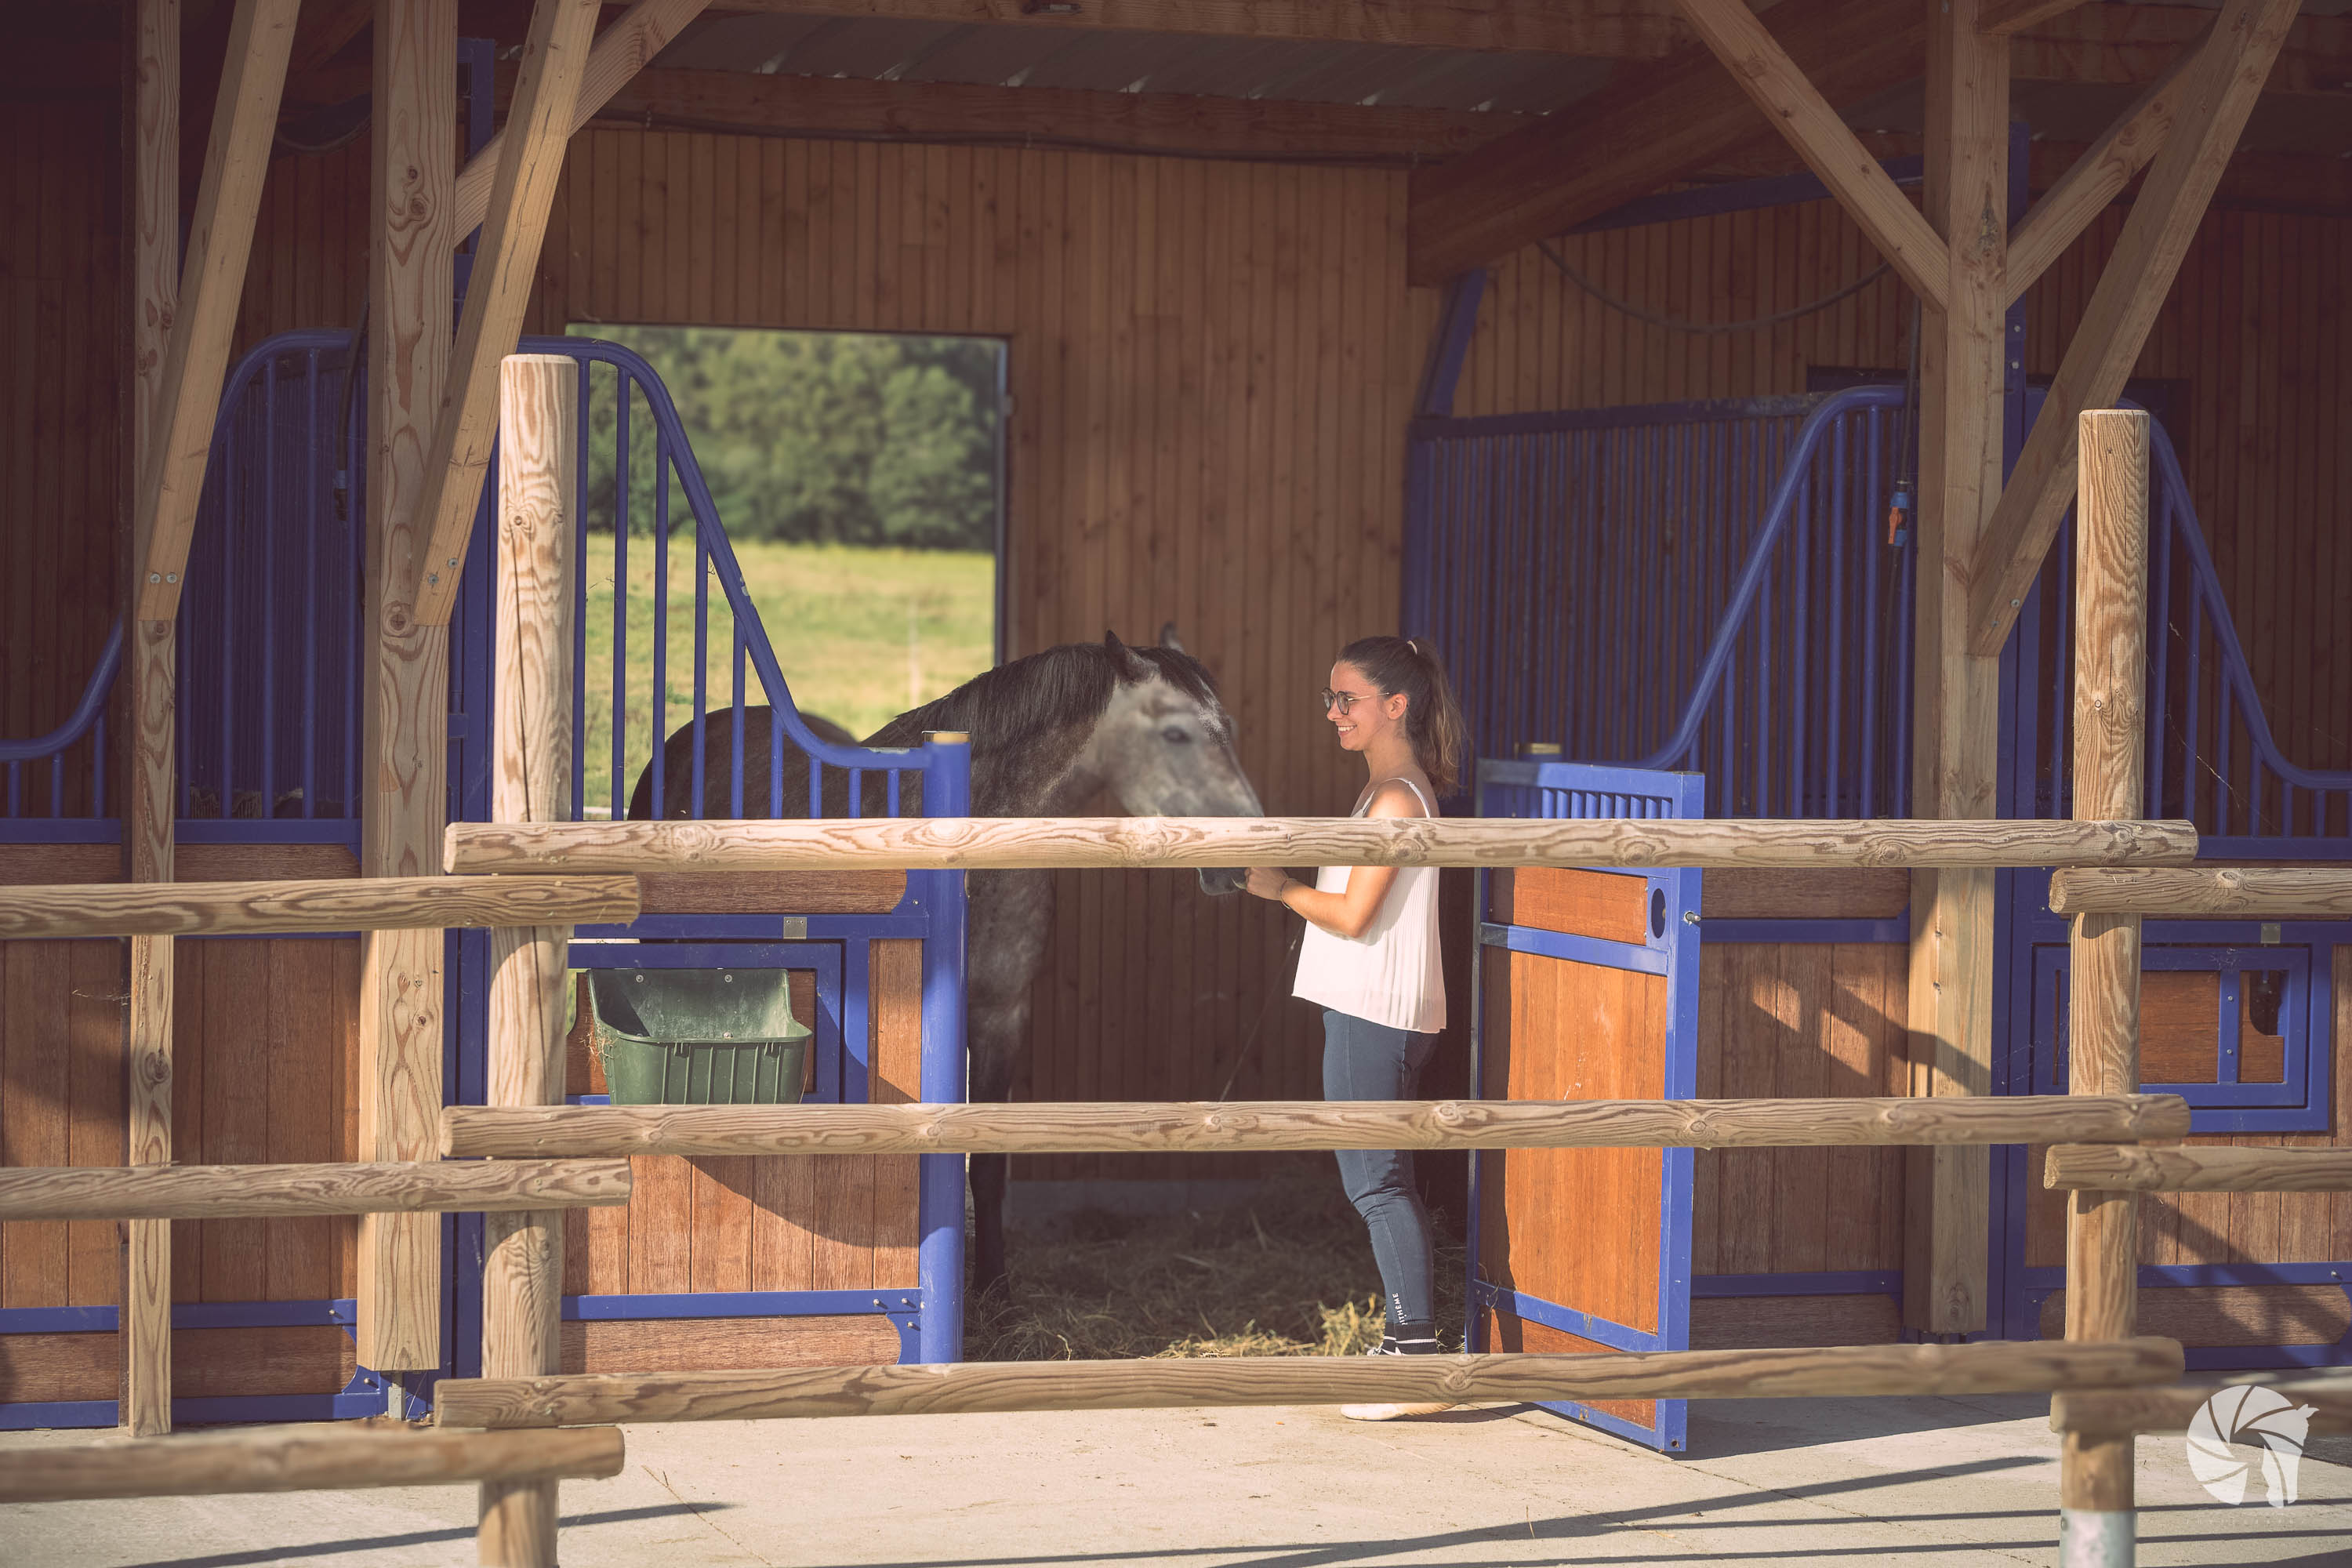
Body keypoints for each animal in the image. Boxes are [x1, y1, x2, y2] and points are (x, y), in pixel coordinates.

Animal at [627, 626, 1266, 1292]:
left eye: (1229, 727)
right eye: (1175, 733)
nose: (1244, 858)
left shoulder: (1001, 1015)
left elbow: (985, 1160)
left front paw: (994, 1287)